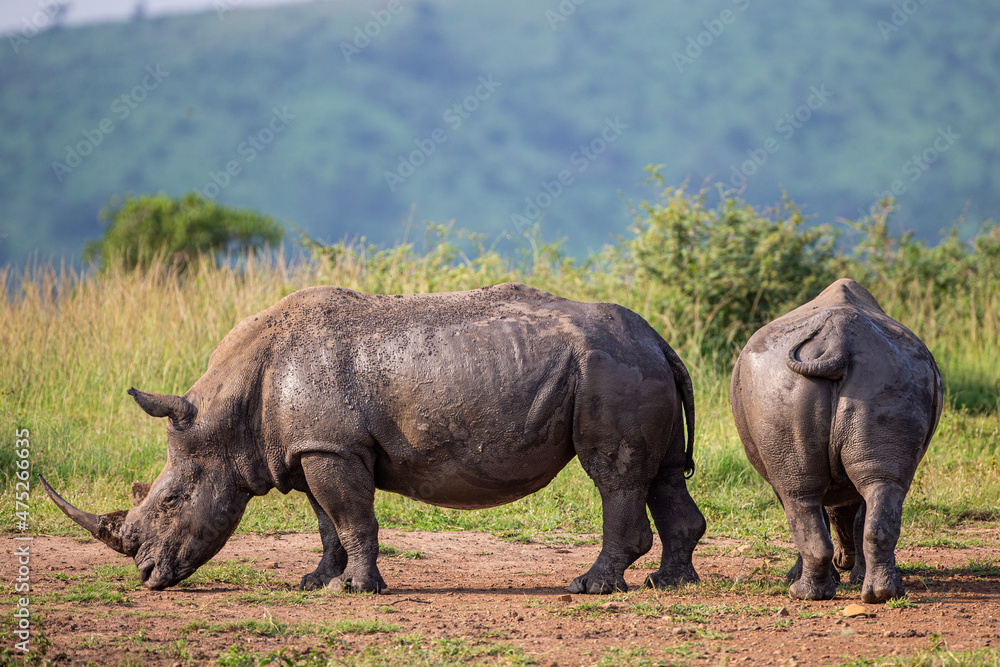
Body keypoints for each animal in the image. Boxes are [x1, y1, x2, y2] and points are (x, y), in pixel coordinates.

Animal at [41, 283, 706, 594]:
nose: (147, 575)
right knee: (664, 474)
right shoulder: (310, 446)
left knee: (614, 474)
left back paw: (592, 587)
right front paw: (317, 583)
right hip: (632, 364)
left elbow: (352, 517)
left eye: (174, 501)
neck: (230, 413)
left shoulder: (331, 448)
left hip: (610, 370)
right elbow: (326, 522)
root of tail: (659, 339)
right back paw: (669, 583)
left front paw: (358, 589)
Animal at [730, 279, 942, 602]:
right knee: (880, 485)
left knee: (800, 495)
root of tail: (837, 343)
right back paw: (883, 593)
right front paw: (853, 576)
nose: (845, 560)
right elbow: (854, 512)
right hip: (894, 373)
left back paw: (805, 593)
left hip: (782, 385)